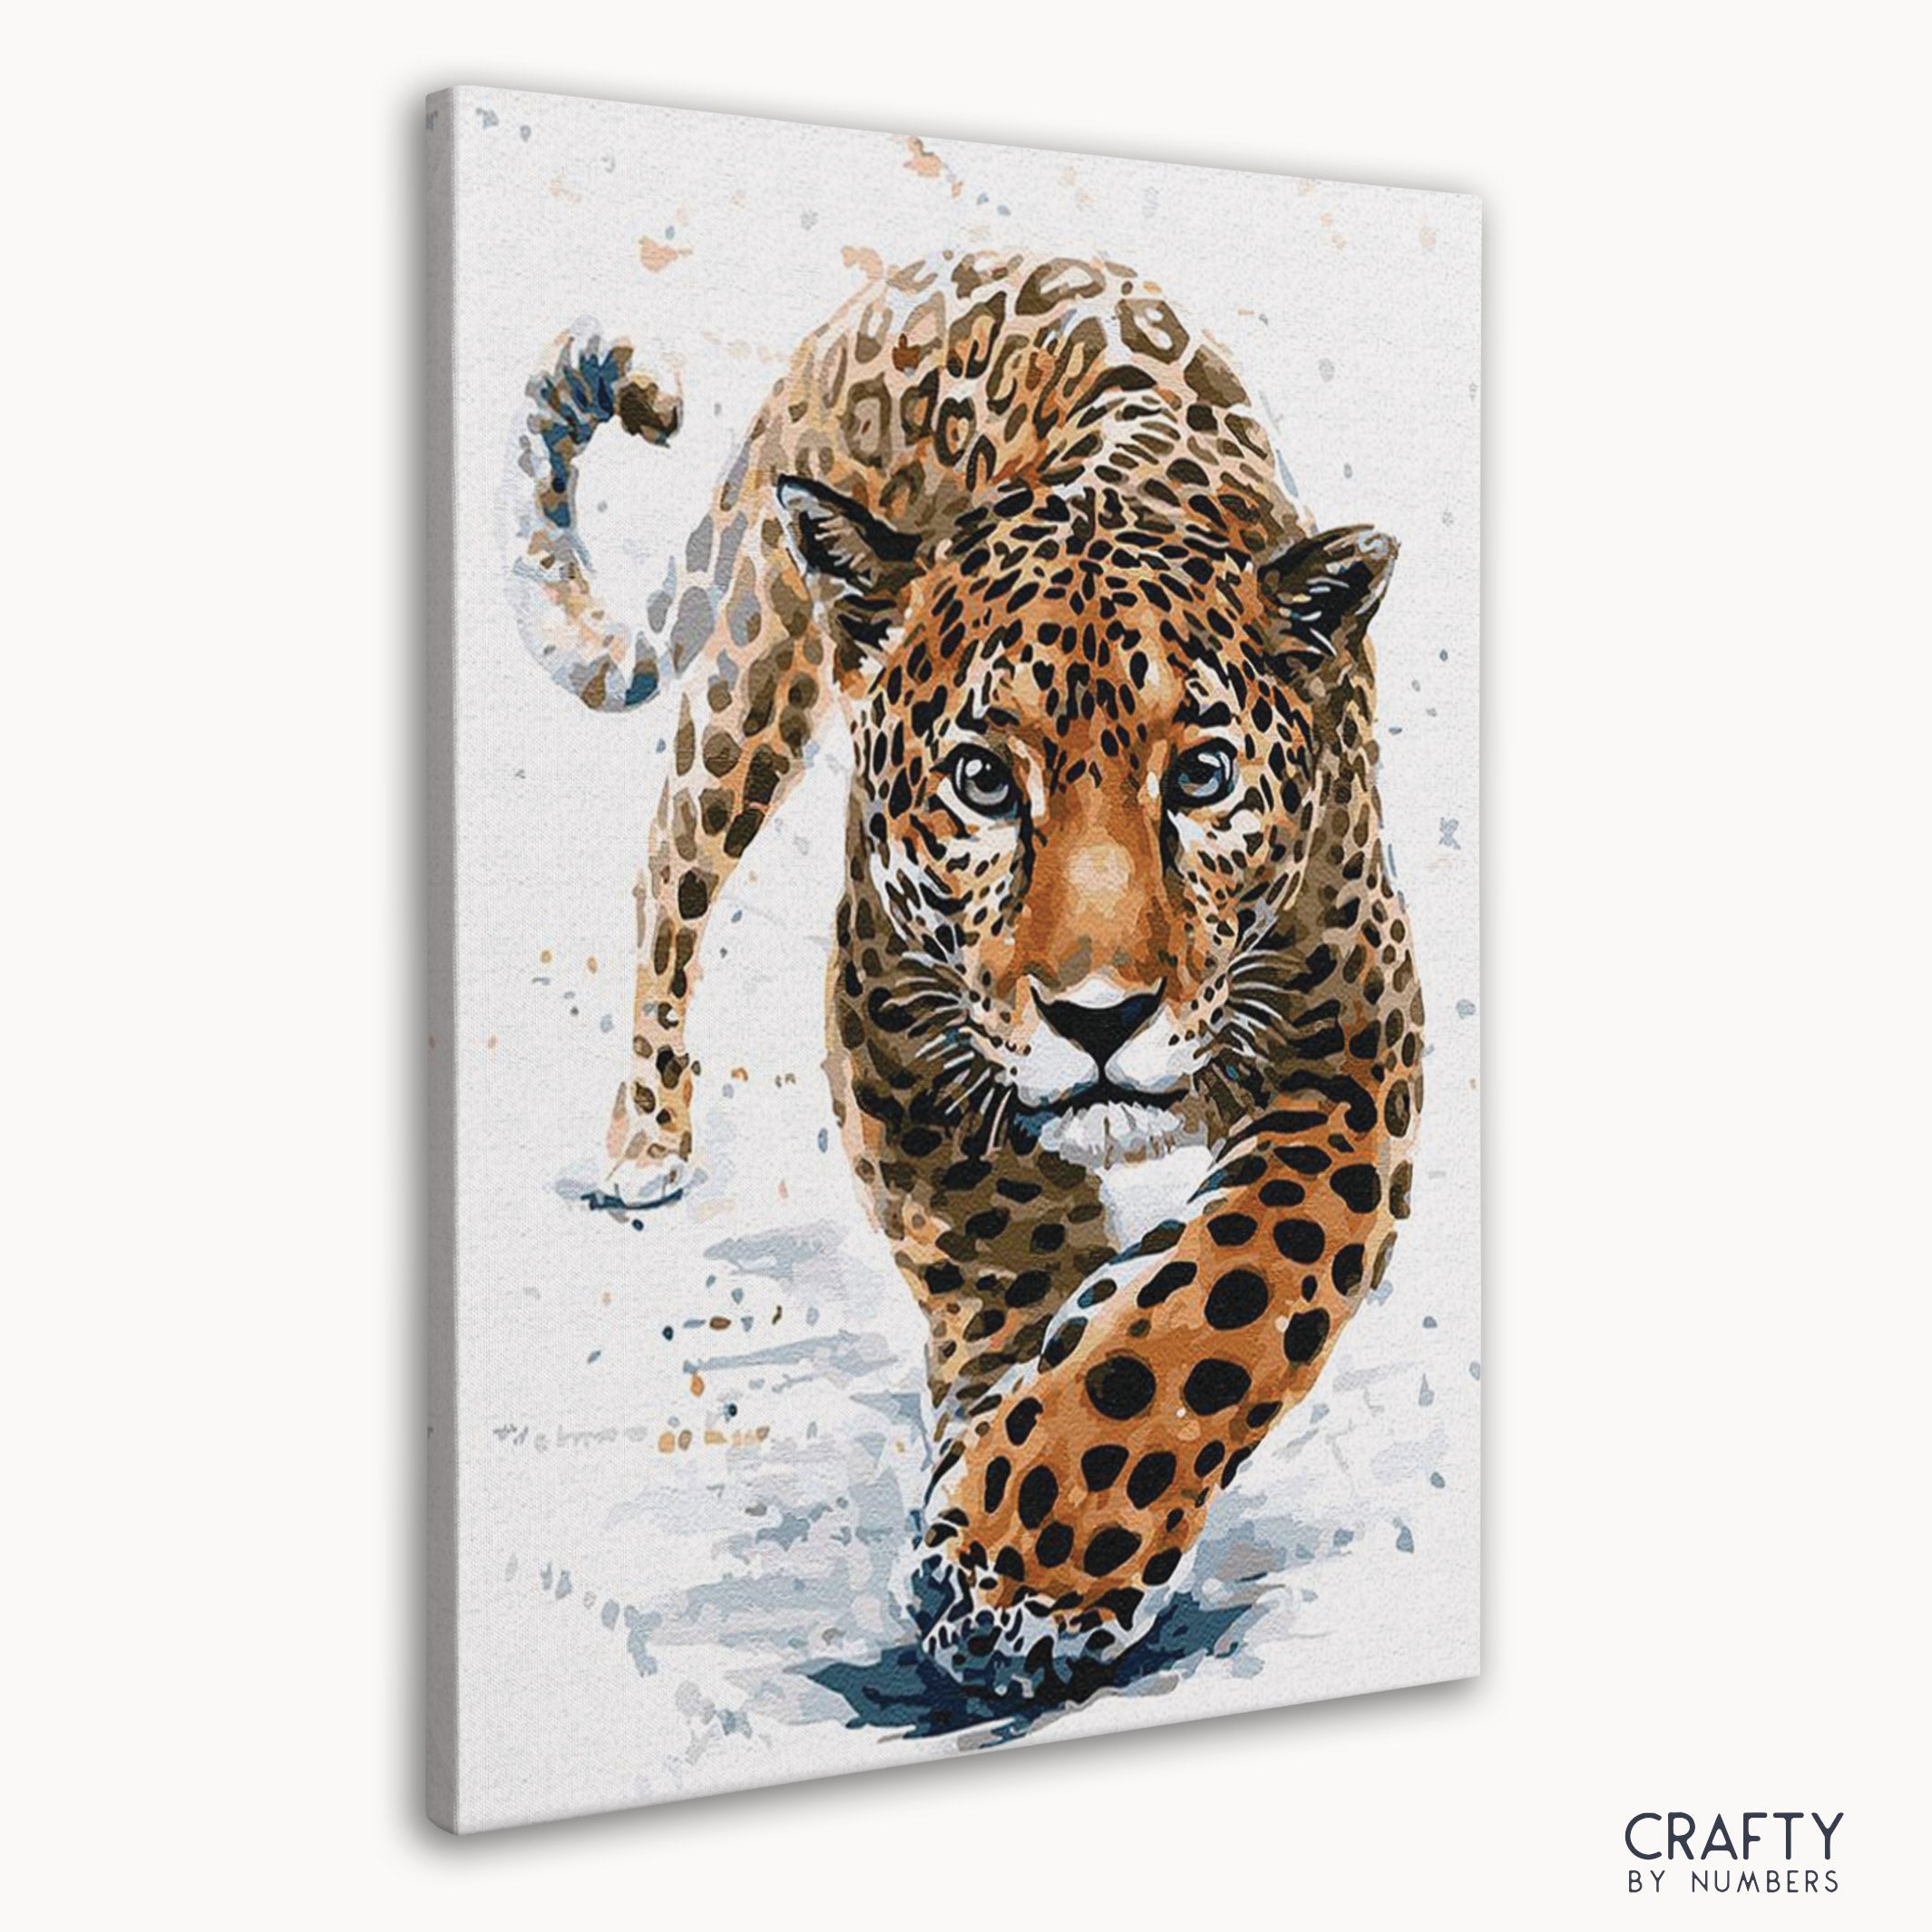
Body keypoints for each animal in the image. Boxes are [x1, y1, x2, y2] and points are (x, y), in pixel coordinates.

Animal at [509, 248, 1423, 1701]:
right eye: (986, 781)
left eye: (1203, 775)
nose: (1100, 1017)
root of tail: (920, 271)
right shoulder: (896, 1029)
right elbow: (1014, 1256)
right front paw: (1009, 1531)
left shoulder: (1353, 1056)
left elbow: (1224, 1297)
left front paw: (1025, 1556)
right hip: (756, 675)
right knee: (666, 872)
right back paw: (646, 1135)